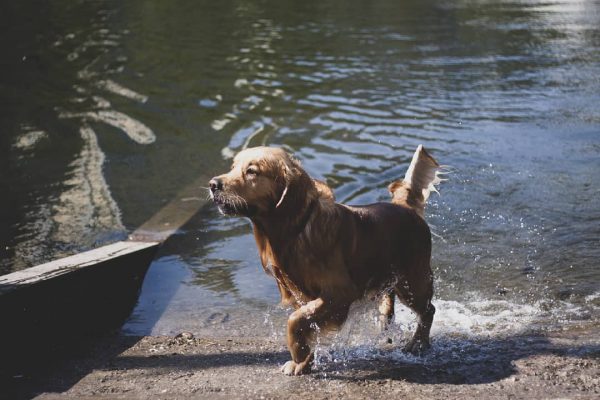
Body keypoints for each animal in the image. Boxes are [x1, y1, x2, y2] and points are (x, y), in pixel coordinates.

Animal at [210, 146, 440, 376]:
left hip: (412, 282)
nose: (213, 184)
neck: (295, 232)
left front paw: (299, 354)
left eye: (252, 171)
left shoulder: (341, 293)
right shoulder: (303, 295)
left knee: (429, 309)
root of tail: (404, 206)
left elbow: (295, 320)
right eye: (232, 167)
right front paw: (304, 362)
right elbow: (305, 322)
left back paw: (418, 343)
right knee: (390, 299)